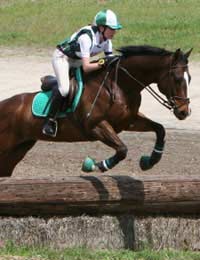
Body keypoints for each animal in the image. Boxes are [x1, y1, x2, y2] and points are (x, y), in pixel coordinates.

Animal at [0, 45, 192, 176]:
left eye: (189, 78)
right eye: (176, 78)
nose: (184, 112)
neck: (121, 86)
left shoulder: (128, 121)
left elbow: (160, 129)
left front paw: (150, 161)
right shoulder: (95, 126)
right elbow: (122, 149)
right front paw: (95, 165)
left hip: (17, 150)